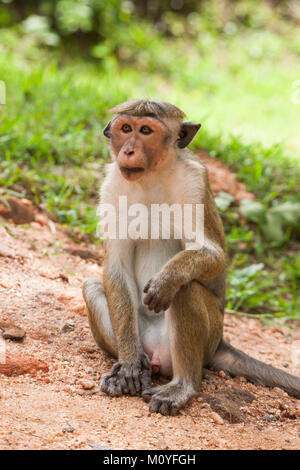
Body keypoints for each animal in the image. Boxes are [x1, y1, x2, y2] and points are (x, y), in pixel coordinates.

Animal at [82, 98, 300, 414]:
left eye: (145, 130)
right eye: (126, 128)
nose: (128, 150)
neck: (152, 175)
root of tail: (219, 343)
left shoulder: (194, 181)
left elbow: (213, 254)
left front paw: (167, 279)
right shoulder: (111, 186)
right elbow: (115, 268)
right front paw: (130, 364)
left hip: (207, 338)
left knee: (185, 290)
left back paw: (182, 386)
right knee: (92, 286)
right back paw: (136, 365)